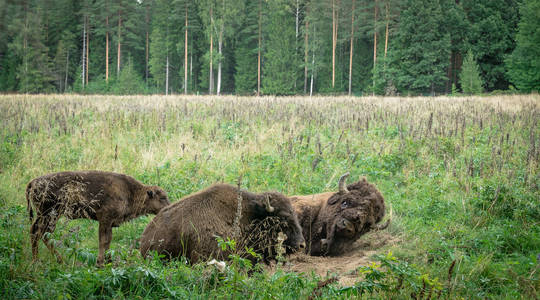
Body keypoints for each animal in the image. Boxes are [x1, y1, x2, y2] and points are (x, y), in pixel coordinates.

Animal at [24, 171, 169, 264]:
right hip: (48, 215)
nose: (168, 207)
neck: (132, 192)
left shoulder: (109, 223)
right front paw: (100, 262)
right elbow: (103, 241)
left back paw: (53, 259)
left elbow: (108, 241)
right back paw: (42, 260)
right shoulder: (104, 220)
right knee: (39, 233)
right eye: (162, 198)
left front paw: (108, 260)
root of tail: (32, 182)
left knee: (38, 233)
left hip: (46, 216)